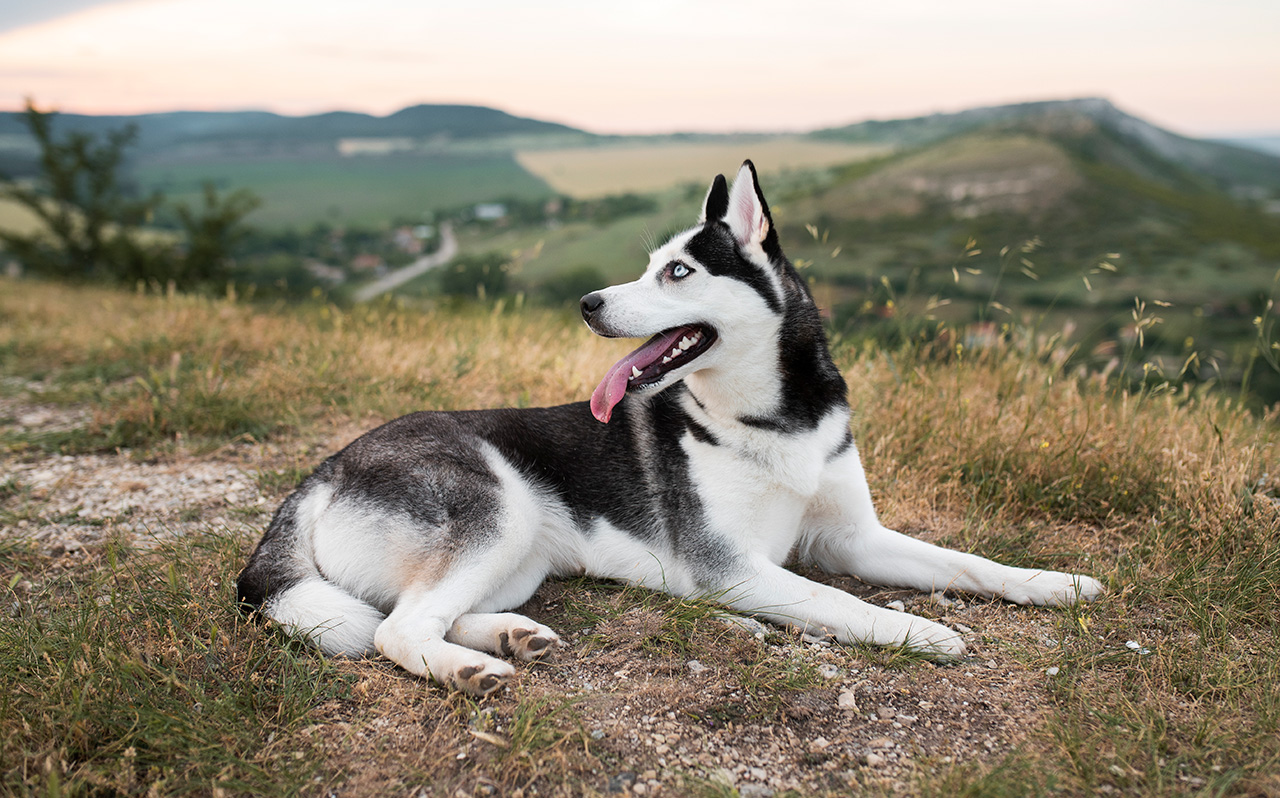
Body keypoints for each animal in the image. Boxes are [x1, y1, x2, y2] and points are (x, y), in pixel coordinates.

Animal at [238, 160, 1100, 691]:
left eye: (678, 271)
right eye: (649, 266)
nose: (587, 302)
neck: (773, 417)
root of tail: (322, 472)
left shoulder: (853, 538)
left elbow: (967, 563)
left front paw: (1058, 584)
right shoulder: (733, 569)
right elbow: (842, 604)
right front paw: (921, 632)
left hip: (519, 554)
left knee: (411, 610)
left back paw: (509, 635)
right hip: (497, 508)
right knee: (393, 630)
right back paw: (470, 670)